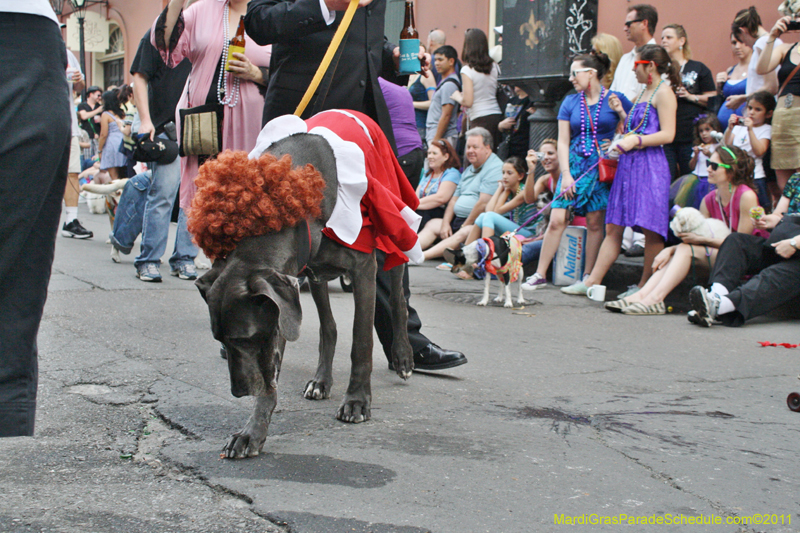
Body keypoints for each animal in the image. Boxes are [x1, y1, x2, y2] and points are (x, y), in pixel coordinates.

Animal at [197, 132, 416, 458]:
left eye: (244, 339)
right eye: (220, 340)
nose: (238, 391)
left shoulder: (364, 267)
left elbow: (361, 341)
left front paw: (357, 401)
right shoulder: (281, 300)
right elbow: (272, 374)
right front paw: (252, 432)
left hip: (393, 234)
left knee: (399, 300)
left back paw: (402, 357)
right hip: (315, 276)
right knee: (329, 326)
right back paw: (321, 381)